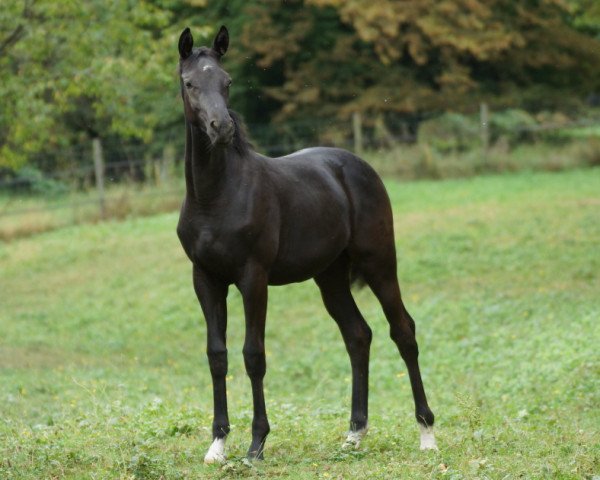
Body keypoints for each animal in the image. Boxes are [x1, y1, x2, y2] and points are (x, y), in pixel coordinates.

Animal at [175, 25, 436, 462]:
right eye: (190, 82)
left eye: (227, 81)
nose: (221, 128)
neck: (216, 197)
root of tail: (358, 166)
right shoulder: (205, 279)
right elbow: (217, 355)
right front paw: (217, 444)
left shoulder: (253, 278)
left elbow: (253, 355)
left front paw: (256, 444)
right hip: (330, 276)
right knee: (358, 335)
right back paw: (354, 434)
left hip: (380, 263)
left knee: (403, 331)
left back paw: (427, 433)